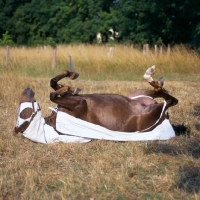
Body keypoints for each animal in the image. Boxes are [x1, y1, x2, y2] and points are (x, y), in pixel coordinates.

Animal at [13, 66, 184, 143]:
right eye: (23, 113)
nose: (27, 89)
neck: (54, 119)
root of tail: (164, 118)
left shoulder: (74, 98)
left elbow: (54, 83)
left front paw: (72, 80)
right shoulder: (79, 103)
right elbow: (52, 94)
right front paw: (69, 86)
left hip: (138, 94)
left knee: (159, 91)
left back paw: (155, 79)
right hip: (153, 109)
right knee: (170, 100)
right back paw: (151, 76)